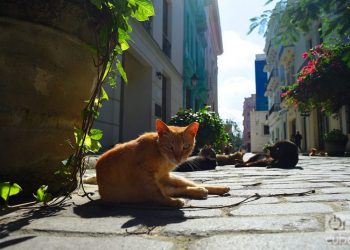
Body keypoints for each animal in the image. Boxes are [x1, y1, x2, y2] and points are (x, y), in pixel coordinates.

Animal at [95, 119, 231, 207]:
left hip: (174, 179)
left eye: (185, 147)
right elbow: (158, 195)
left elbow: (159, 194)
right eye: (170, 147)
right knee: (180, 189)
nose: (178, 158)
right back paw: (200, 192)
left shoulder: (162, 177)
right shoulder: (145, 176)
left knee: (190, 185)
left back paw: (218, 188)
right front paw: (173, 202)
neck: (163, 159)